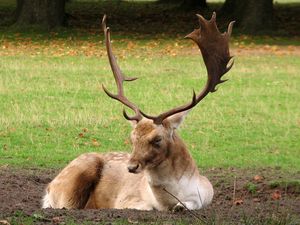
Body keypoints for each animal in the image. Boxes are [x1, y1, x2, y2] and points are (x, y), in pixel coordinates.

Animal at [42, 12, 234, 211]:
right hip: (73, 180)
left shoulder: (206, 195)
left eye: (157, 139)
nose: (131, 167)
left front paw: (180, 206)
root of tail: (49, 188)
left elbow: (188, 205)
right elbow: (145, 206)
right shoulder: (125, 199)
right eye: (132, 138)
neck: (168, 201)